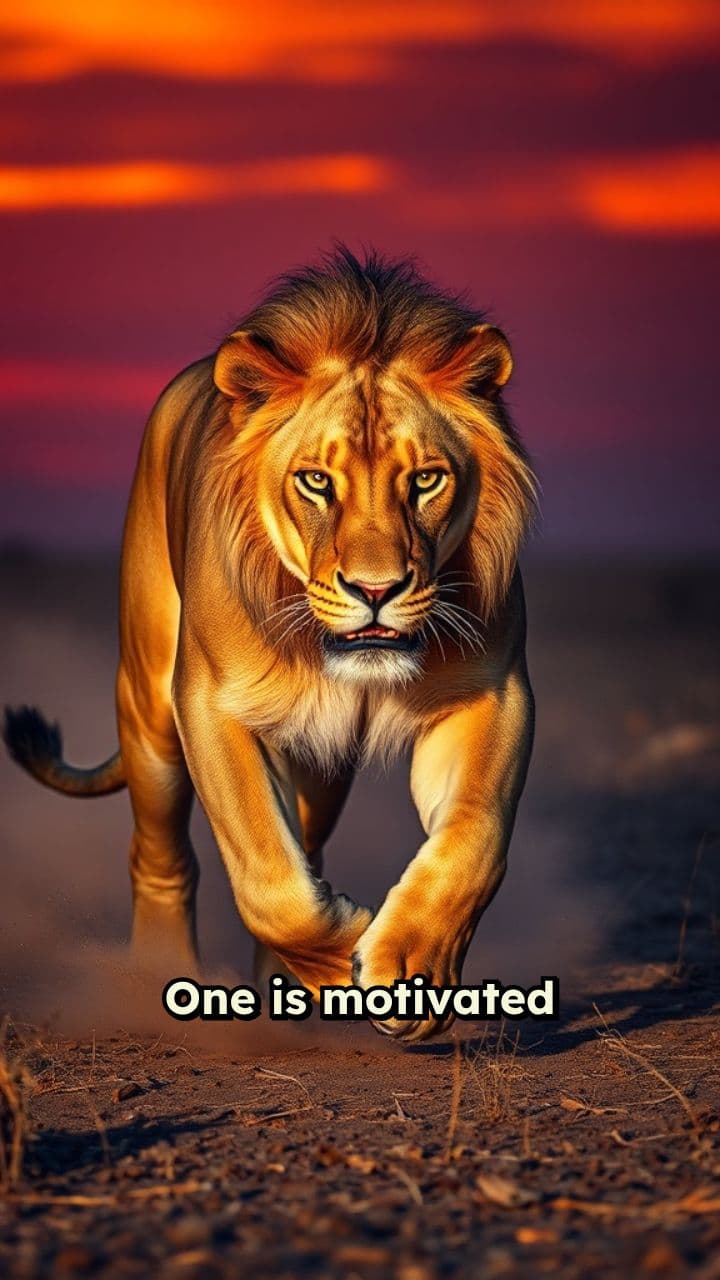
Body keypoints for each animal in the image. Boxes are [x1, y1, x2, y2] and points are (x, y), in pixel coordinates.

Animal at [4, 248, 536, 1041]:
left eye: (426, 480)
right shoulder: (211, 703)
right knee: (160, 852)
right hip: (149, 706)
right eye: (315, 481)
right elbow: (266, 876)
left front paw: (409, 968)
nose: (375, 589)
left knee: (307, 844)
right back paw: (161, 976)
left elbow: (473, 838)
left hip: (322, 758)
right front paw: (346, 953)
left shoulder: (492, 693)